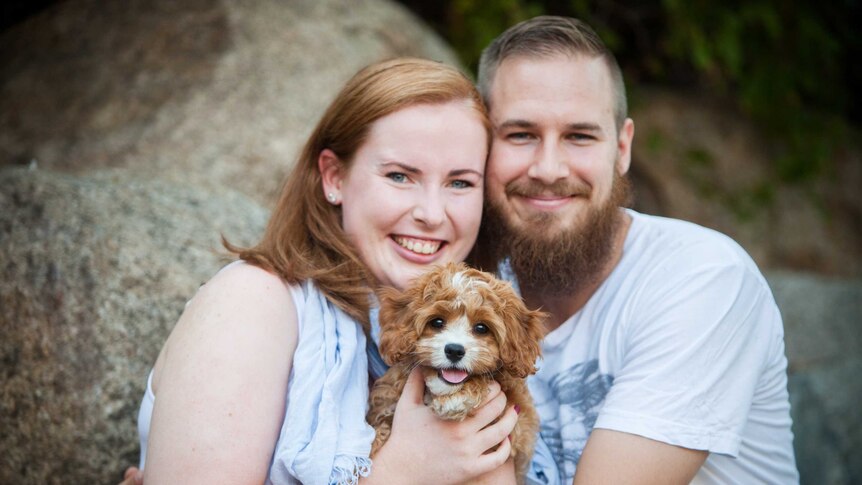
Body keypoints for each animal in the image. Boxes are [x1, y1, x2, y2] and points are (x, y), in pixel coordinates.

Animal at [366, 260, 544, 480]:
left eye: (481, 328)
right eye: (437, 322)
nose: (454, 350)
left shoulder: (520, 424)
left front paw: (457, 398)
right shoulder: (386, 403)